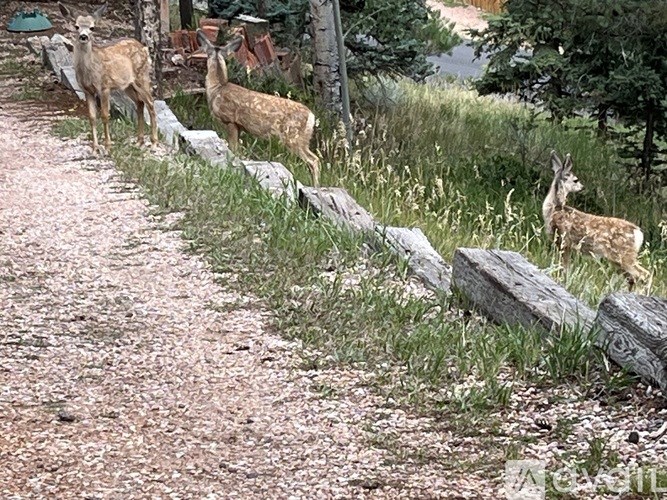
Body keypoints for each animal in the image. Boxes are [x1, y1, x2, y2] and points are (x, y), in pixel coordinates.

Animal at [58, 2, 158, 154]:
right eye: (76, 26)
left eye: (92, 28)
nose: (83, 36)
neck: (89, 71)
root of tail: (145, 48)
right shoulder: (87, 90)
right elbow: (92, 117)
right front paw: (95, 148)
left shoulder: (104, 86)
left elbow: (105, 115)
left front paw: (107, 147)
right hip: (127, 85)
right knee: (140, 103)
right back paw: (139, 142)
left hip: (142, 76)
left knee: (151, 103)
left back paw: (153, 143)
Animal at [195, 30, 321, 186]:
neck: (217, 89)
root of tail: (312, 117)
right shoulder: (240, 126)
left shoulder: (230, 120)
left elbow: (233, 148)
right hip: (302, 139)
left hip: (293, 136)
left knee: (313, 160)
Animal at [543, 150, 650, 291]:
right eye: (576, 180)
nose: (582, 187)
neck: (554, 208)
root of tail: (638, 233)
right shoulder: (566, 245)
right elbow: (566, 268)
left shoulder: (563, 240)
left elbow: (563, 268)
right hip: (619, 259)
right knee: (632, 278)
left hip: (624, 255)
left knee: (644, 275)